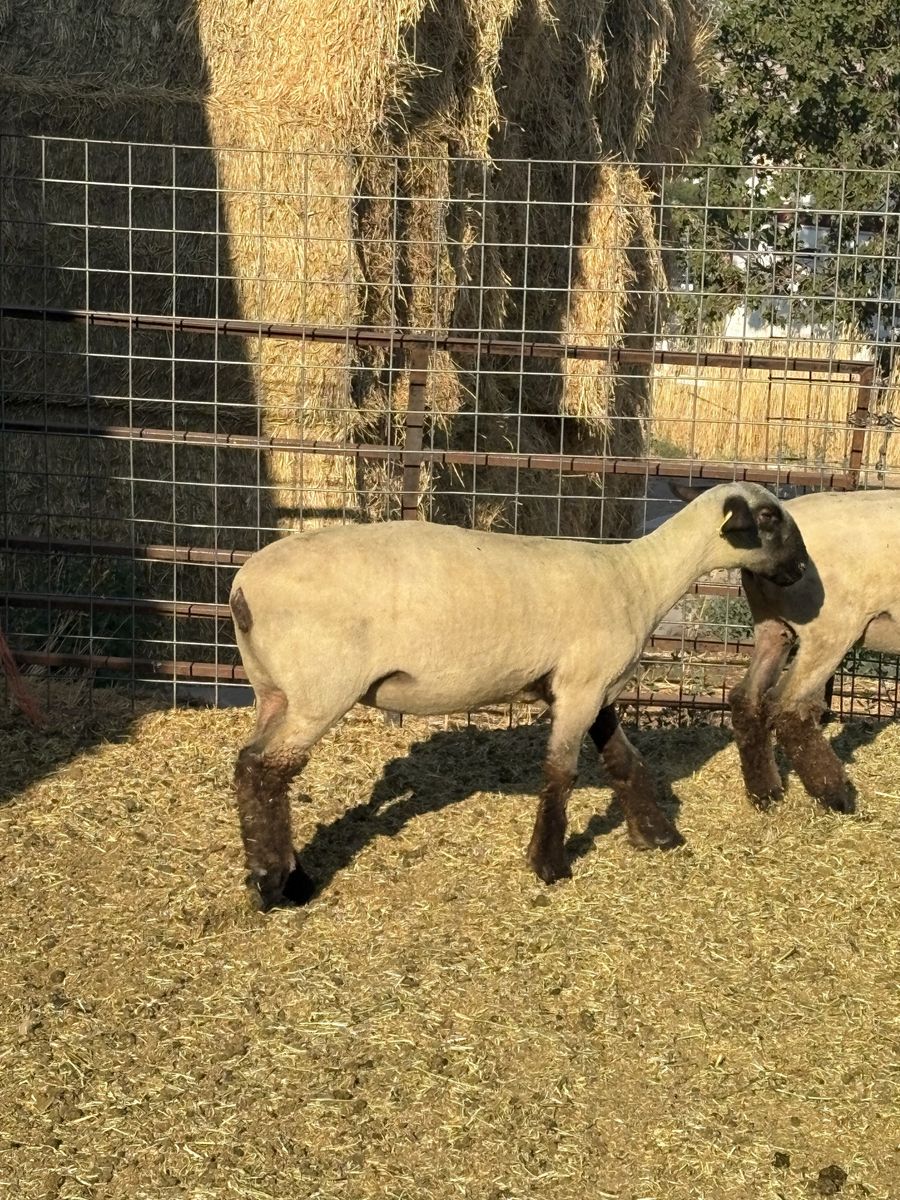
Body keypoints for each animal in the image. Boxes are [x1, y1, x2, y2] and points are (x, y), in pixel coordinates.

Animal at [229, 481, 808, 910]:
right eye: (769, 517)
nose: (801, 571)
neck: (640, 580)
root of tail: (241, 588)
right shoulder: (581, 686)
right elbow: (561, 772)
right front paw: (549, 863)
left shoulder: (594, 686)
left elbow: (624, 761)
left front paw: (657, 834)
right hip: (320, 689)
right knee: (265, 769)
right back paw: (275, 885)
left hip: (274, 690)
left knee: (251, 765)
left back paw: (284, 874)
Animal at [674, 485, 900, 813]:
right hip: (831, 627)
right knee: (787, 706)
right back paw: (835, 794)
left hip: (772, 622)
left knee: (747, 698)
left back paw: (765, 793)